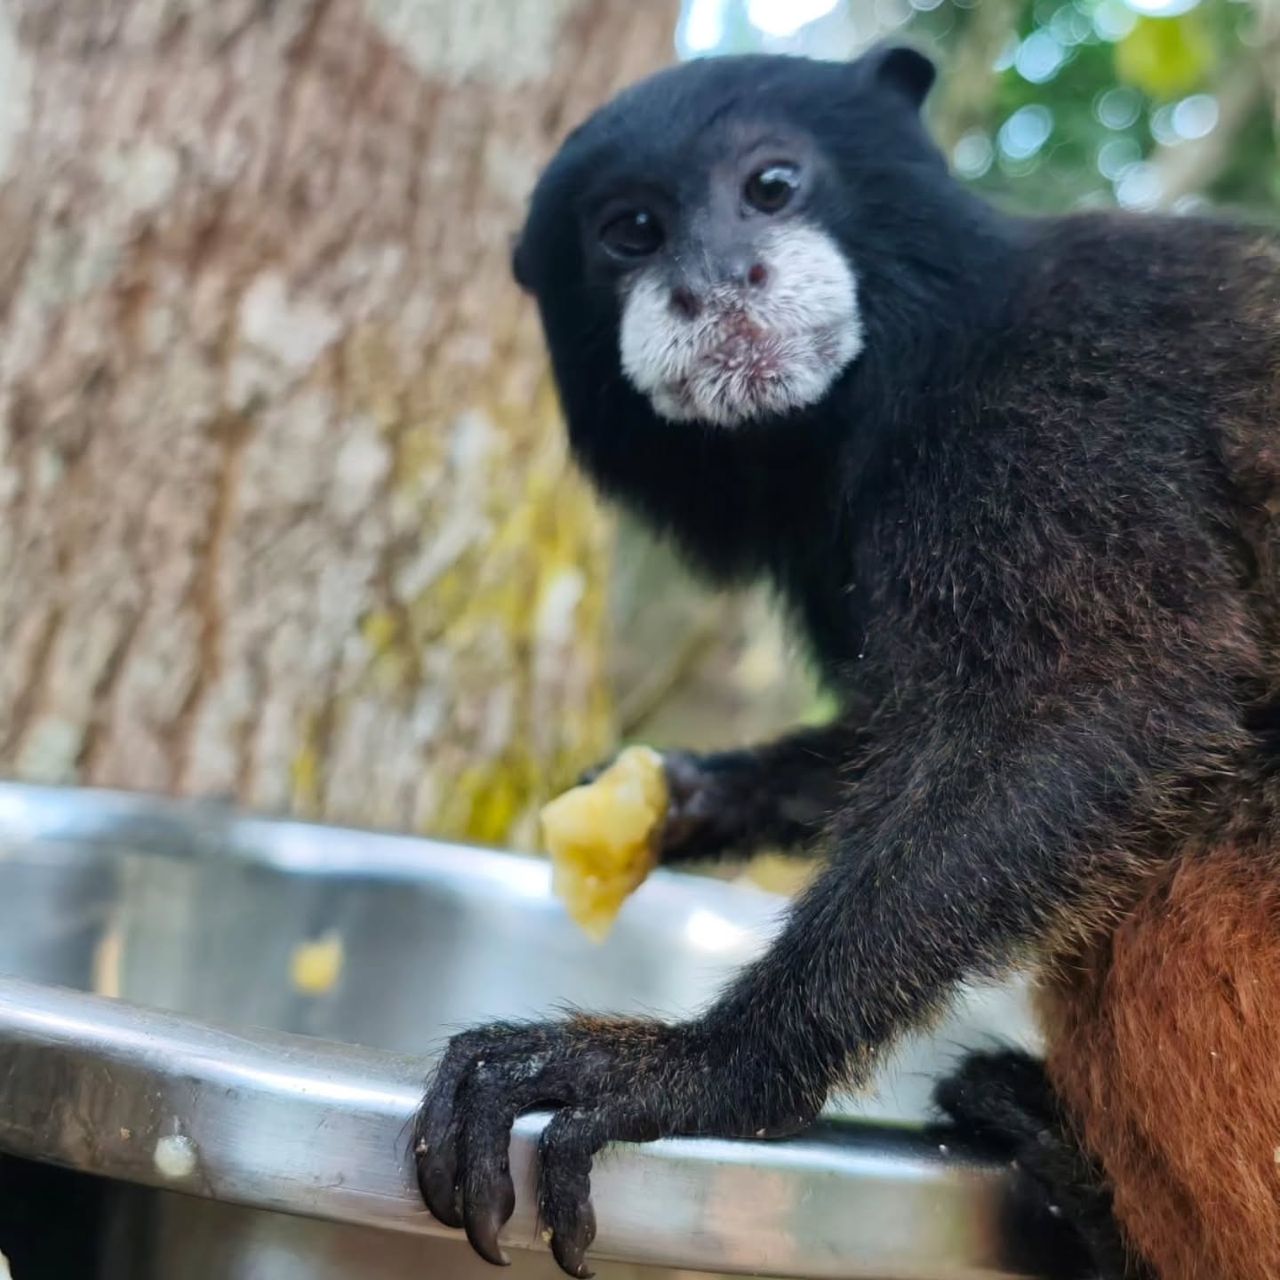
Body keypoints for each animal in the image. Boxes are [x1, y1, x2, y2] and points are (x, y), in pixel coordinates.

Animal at [413, 43, 1280, 1280]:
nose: (719, 281)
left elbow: (1105, 702)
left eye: (771, 187)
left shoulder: (1054, 405)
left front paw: (709, 1067)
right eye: (632, 232)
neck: (923, 360)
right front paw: (696, 798)